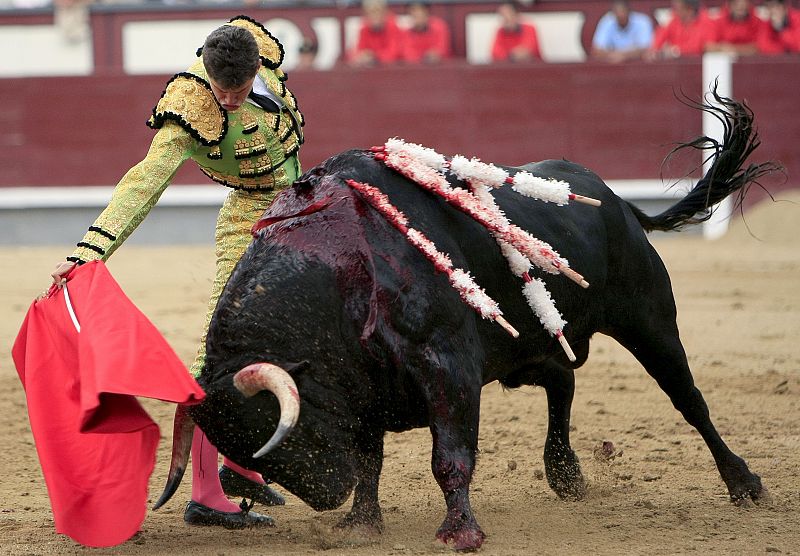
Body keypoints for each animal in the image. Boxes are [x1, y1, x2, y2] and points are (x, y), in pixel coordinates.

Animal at [155, 93, 776, 548]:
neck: (339, 266)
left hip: (648, 318)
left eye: (270, 425)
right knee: (563, 381)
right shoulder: (364, 382)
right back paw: (566, 474)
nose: (326, 495)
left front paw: (460, 532)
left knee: (688, 398)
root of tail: (617, 201)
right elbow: (370, 455)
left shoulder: (448, 365)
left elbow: (449, 455)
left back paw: (745, 485)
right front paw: (361, 523)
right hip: (530, 348)